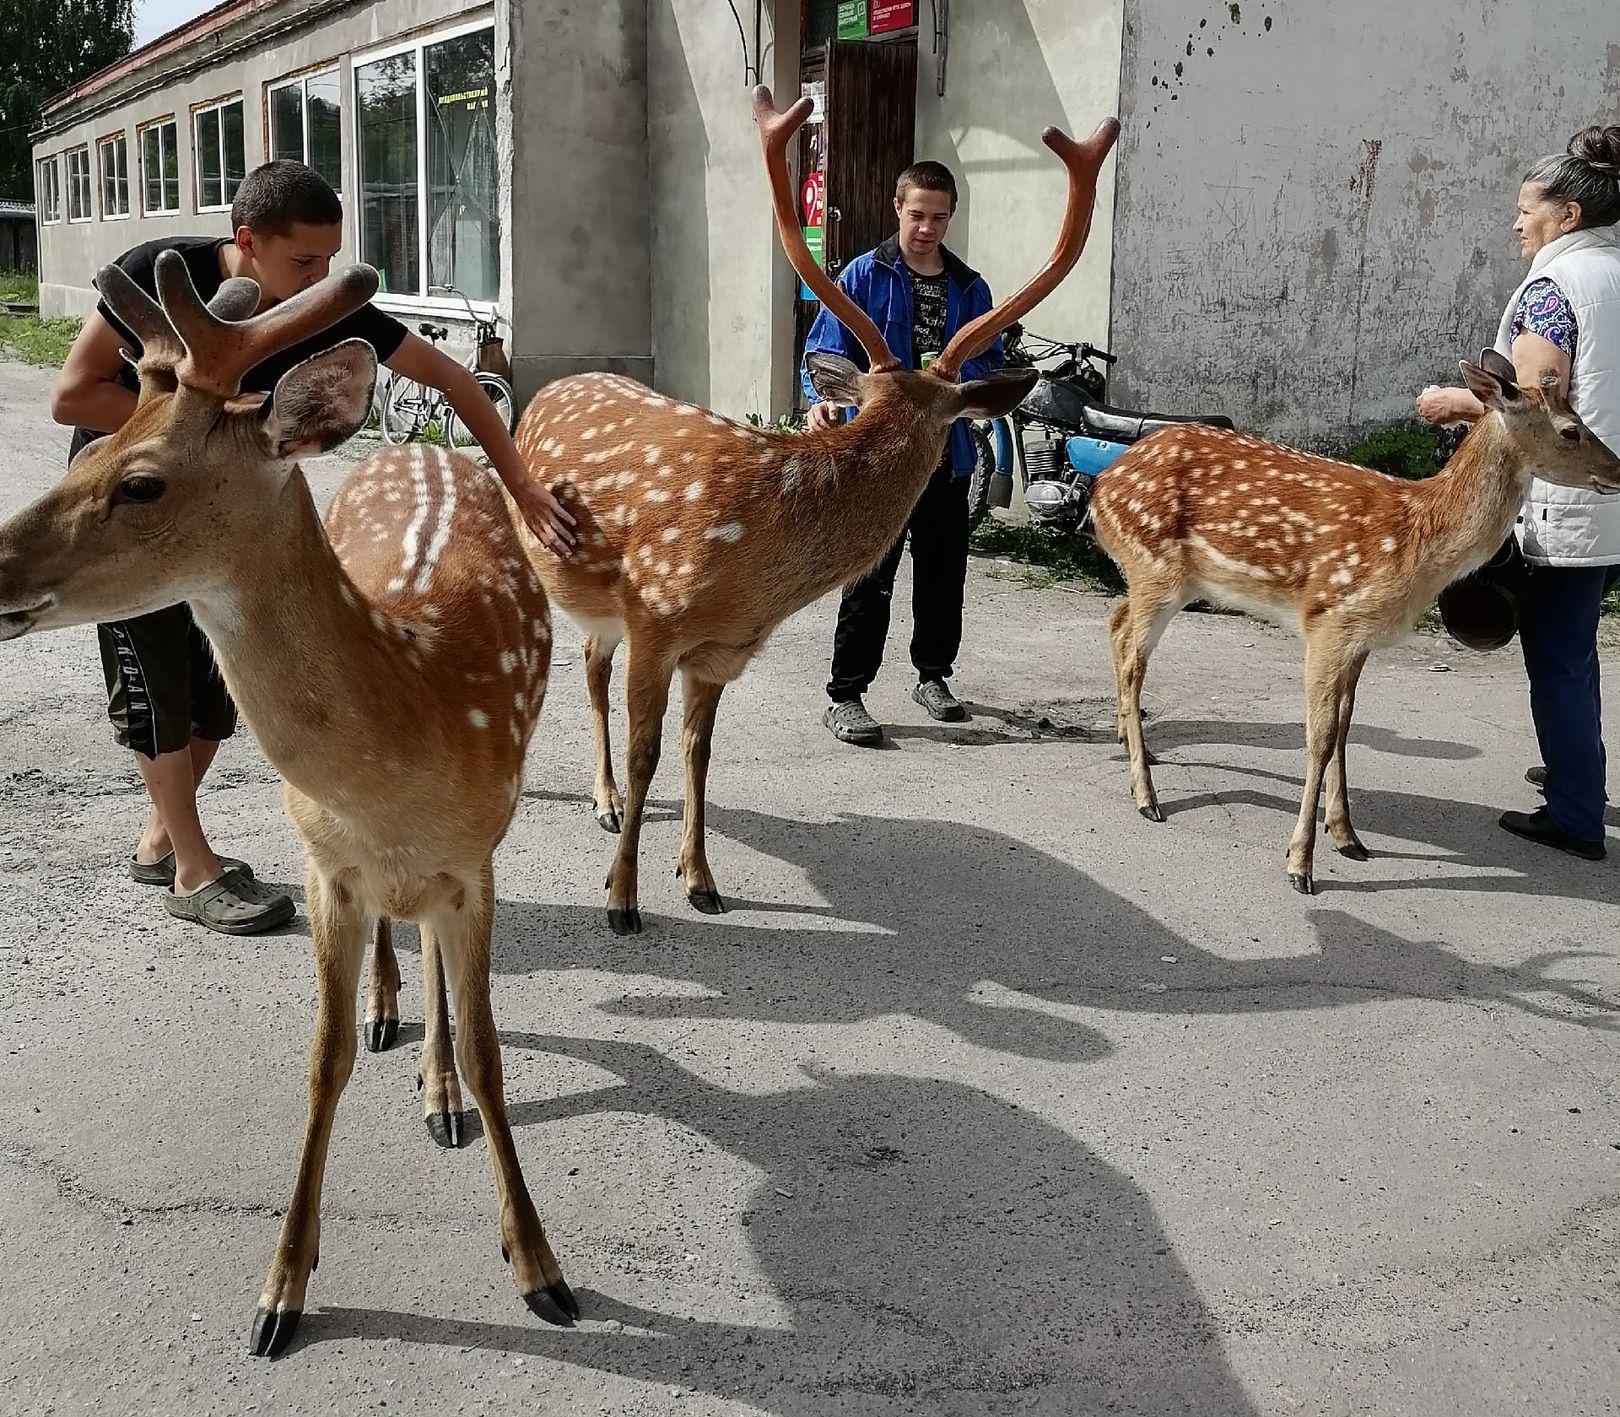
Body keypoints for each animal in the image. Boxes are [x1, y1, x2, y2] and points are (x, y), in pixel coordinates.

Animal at [507, 84, 1119, 934]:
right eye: (942, 425)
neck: (750, 566)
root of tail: (548, 391)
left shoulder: (718, 651)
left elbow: (699, 754)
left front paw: (699, 878)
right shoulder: (656, 617)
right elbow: (647, 752)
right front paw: (622, 899)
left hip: (603, 605)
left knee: (592, 664)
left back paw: (605, 802)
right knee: (578, 675)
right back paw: (591, 801)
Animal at [1088, 349, 1620, 894]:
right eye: (1571, 430)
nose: (1618, 471)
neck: (1417, 538)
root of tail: (1101, 488)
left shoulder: (1360, 638)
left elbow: (1344, 730)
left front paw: (1347, 836)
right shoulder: (1327, 619)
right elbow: (1320, 739)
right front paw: (1300, 863)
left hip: (1162, 578)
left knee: (1116, 624)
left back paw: (1135, 747)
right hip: (1156, 567)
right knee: (1133, 658)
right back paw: (1147, 795)